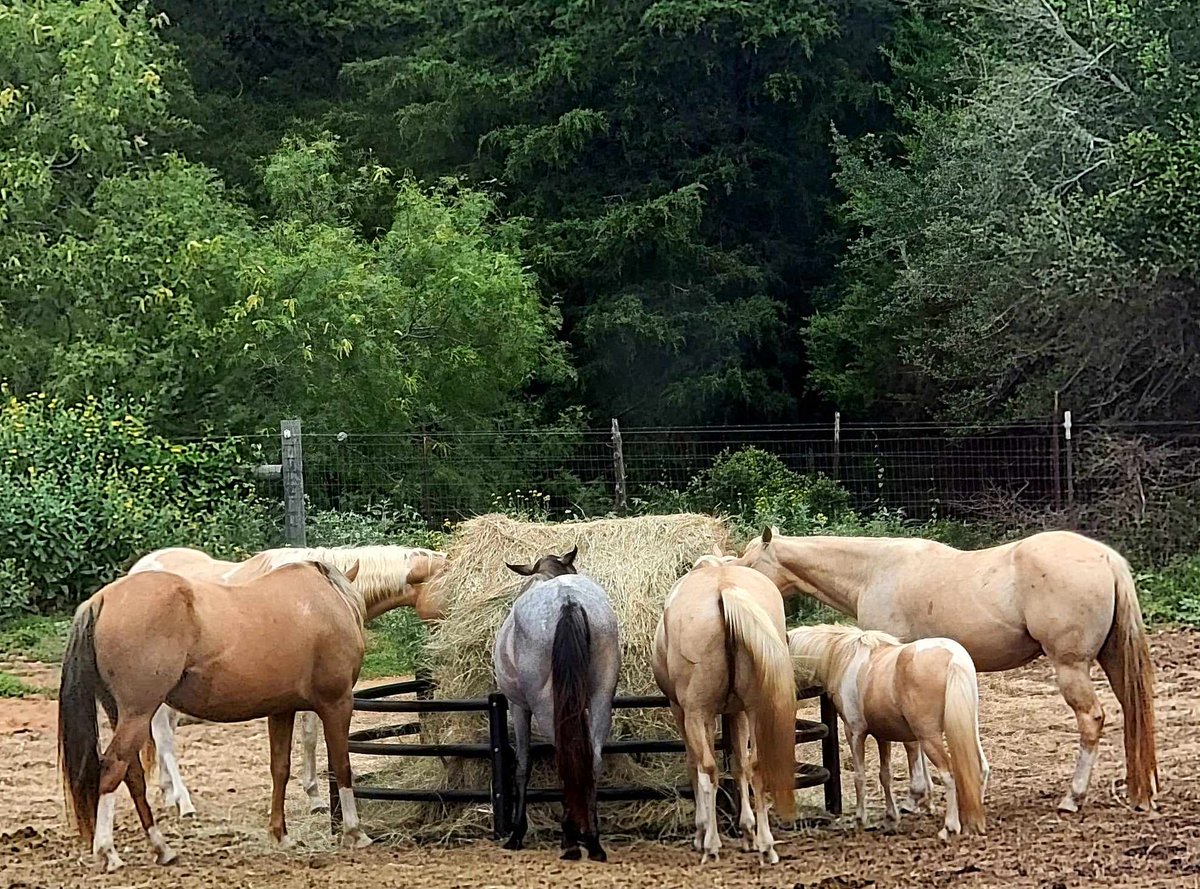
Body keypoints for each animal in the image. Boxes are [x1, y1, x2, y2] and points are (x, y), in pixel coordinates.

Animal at [58, 560, 372, 872]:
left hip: (122, 715)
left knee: (131, 774)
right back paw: (108, 852)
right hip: (138, 714)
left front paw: (280, 835)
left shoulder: (282, 709)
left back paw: (161, 848)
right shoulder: (337, 703)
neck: (325, 602)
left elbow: (280, 770)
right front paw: (354, 832)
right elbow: (342, 766)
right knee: (112, 769)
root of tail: (101, 600)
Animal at [492, 546, 621, 861]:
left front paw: (517, 833)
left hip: (543, 705)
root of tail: (568, 599)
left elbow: (522, 764)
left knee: (564, 757)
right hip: (601, 696)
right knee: (592, 758)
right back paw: (592, 840)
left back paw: (571, 839)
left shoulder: (518, 706)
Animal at [652, 561, 796, 864]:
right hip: (754, 709)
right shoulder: (737, 712)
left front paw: (701, 831)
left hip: (695, 713)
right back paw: (766, 845)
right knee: (755, 766)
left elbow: (695, 766)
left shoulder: (684, 711)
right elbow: (740, 765)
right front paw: (748, 832)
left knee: (707, 768)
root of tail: (724, 588)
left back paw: (711, 844)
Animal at [736, 527, 1157, 814]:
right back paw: (1142, 790)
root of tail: (1107, 559)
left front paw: (915, 797)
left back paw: (1073, 796)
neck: (874, 571)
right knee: (1133, 711)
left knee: (1092, 719)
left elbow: (909, 740)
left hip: (1071, 667)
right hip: (1113, 660)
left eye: (751, 561)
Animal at [790, 624, 988, 840]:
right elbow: (885, 775)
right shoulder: (882, 735)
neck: (845, 659)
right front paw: (891, 819)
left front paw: (860, 819)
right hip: (967, 728)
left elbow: (860, 777)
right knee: (979, 768)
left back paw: (950, 827)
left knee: (949, 773)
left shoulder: (855, 732)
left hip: (929, 737)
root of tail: (953, 658)